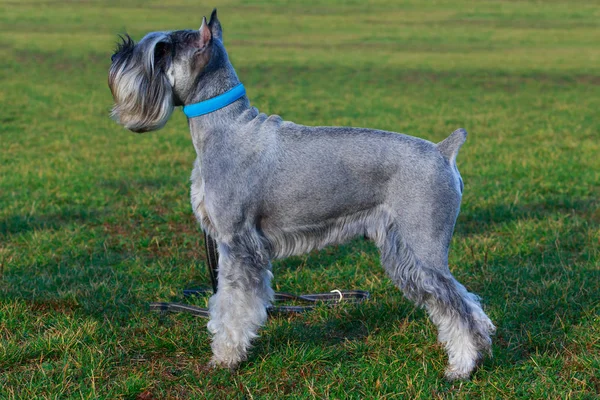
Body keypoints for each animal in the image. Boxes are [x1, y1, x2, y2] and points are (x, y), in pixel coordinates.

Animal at [109, 7, 496, 380]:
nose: (117, 53)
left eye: (162, 49)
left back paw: (462, 367)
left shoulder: (237, 244)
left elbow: (232, 306)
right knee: (463, 305)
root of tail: (443, 151)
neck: (225, 125)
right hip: (405, 255)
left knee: (461, 307)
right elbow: (226, 302)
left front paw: (226, 358)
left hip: (423, 249)